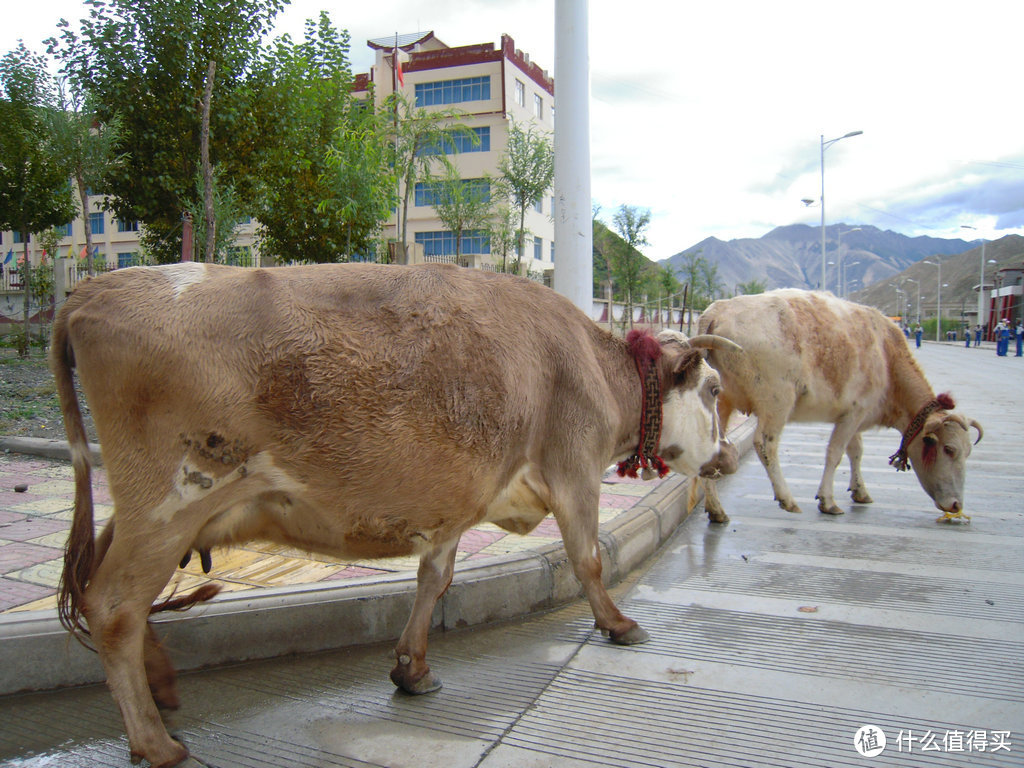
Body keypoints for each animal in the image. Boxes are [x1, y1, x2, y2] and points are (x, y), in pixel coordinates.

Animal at [51, 264, 737, 768]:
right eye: (712, 390)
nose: (727, 456)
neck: (594, 366)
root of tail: (91, 290)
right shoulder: (573, 469)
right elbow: (588, 558)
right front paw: (618, 625)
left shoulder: (455, 505)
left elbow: (435, 579)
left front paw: (413, 669)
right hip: (170, 501)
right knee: (113, 605)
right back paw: (156, 743)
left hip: (151, 512)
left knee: (107, 588)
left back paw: (162, 690)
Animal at [696, 290, 983, 528]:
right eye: (949, 449)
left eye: (968, 451)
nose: (956, 505)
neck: (887, 357)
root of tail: (718, 310)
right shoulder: (853, 414)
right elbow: (835, 454)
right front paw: (828, 501)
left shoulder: (853, 417)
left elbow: (856, 452)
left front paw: (860, 491)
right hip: (776, 401)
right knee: (766, 445)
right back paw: (787, 499)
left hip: (722, 402)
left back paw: (717, 510)